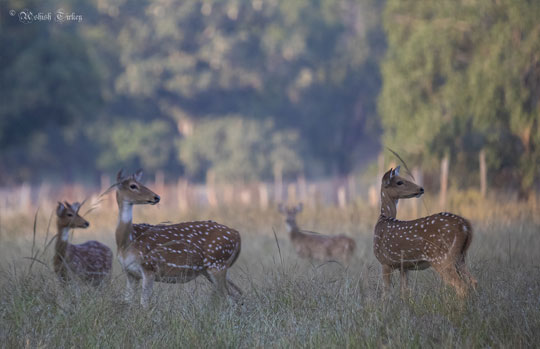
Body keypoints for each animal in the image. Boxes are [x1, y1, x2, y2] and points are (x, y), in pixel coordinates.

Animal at [114, 169, 243, 308]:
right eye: (133, 185)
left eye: (140, 183)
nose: (156, 197)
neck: (127, 242)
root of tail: (237, 235)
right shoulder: (130, 273)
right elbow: (127, 302)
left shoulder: (149, 266)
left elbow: (144, 303)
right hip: (212, 269)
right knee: (237, 293)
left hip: (217, 264)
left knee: (230, 298)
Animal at [376, 166, 476, 296]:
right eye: (399, 182)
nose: (421, 188)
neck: (382, 219)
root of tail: (465, 225)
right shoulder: (404, 266)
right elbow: (404, 293)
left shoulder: (385, 261)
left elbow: (386, 293)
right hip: (461, 256)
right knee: (473, 281)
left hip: (442, 258)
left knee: (461, 286)